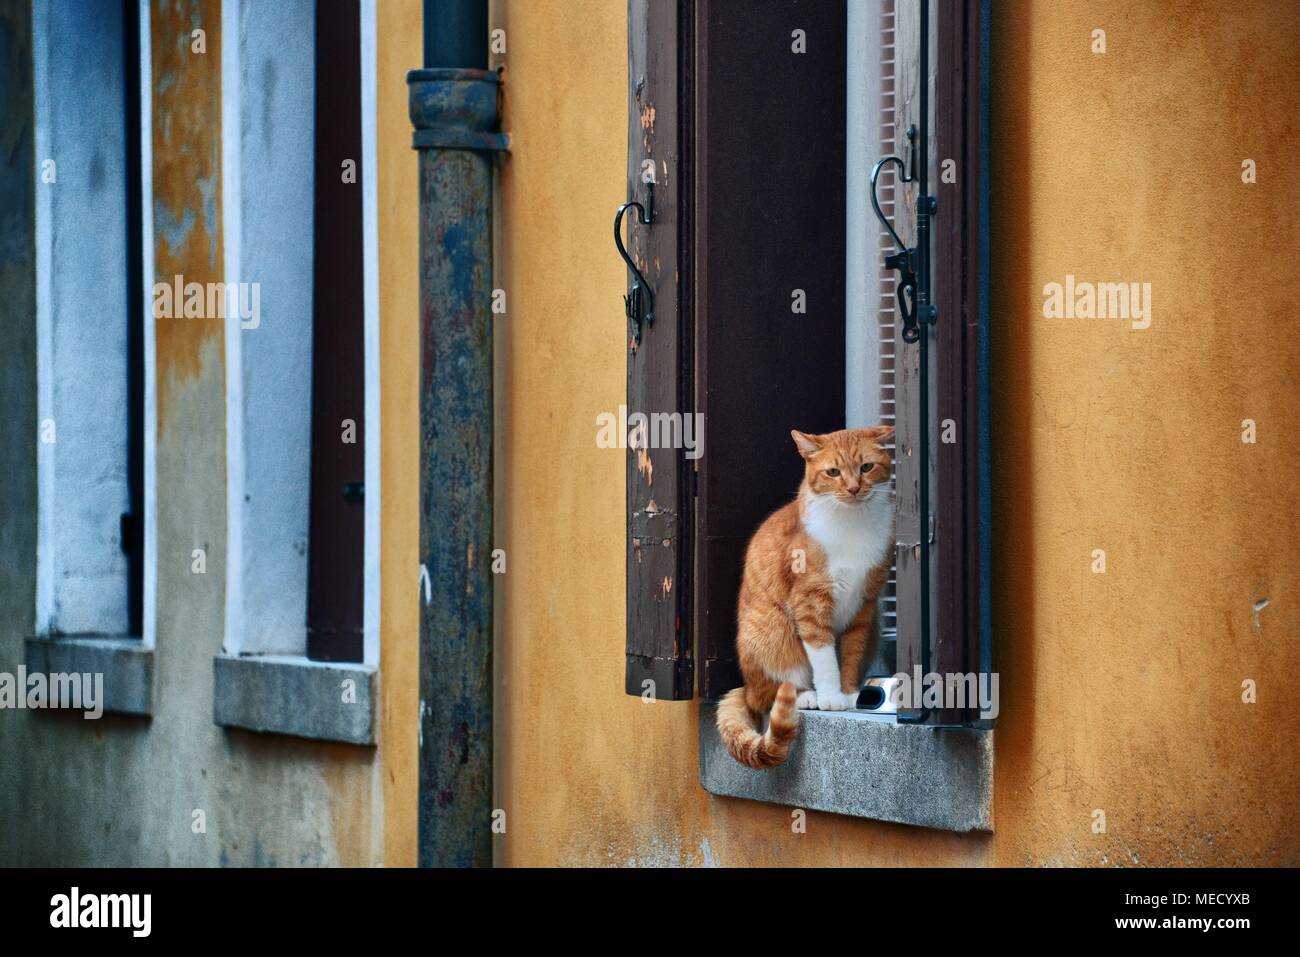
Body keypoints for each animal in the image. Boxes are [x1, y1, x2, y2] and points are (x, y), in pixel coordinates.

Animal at [717, 426, 899, 769]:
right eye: (833, 472)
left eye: (866, 467)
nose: (854, 488)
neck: (852, 524)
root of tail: (746, 685)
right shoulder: (810, 602)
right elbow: (824, 655)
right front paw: (830, 696)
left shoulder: (865, 606)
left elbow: (851, 653)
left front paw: (850, 693)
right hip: (770, 629)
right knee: (766, 695)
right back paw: (805, 695)